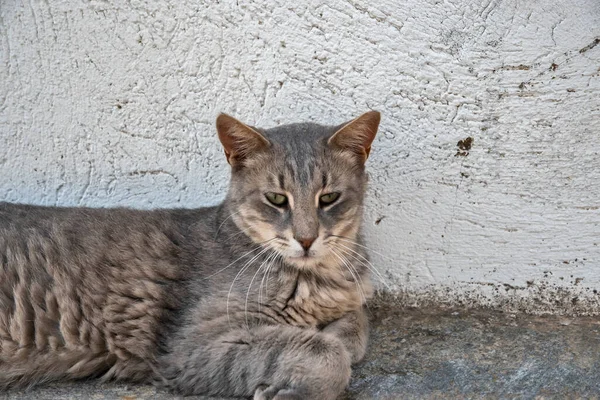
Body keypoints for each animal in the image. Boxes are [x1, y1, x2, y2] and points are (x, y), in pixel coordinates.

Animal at [0, 110, 380, 400]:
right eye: (276, 199)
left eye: (328, 198)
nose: (306, 238)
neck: (318, 278)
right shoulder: (192, 345)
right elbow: (328, 353)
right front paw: (291, 386)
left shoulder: (348, 302)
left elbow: (355, 327)